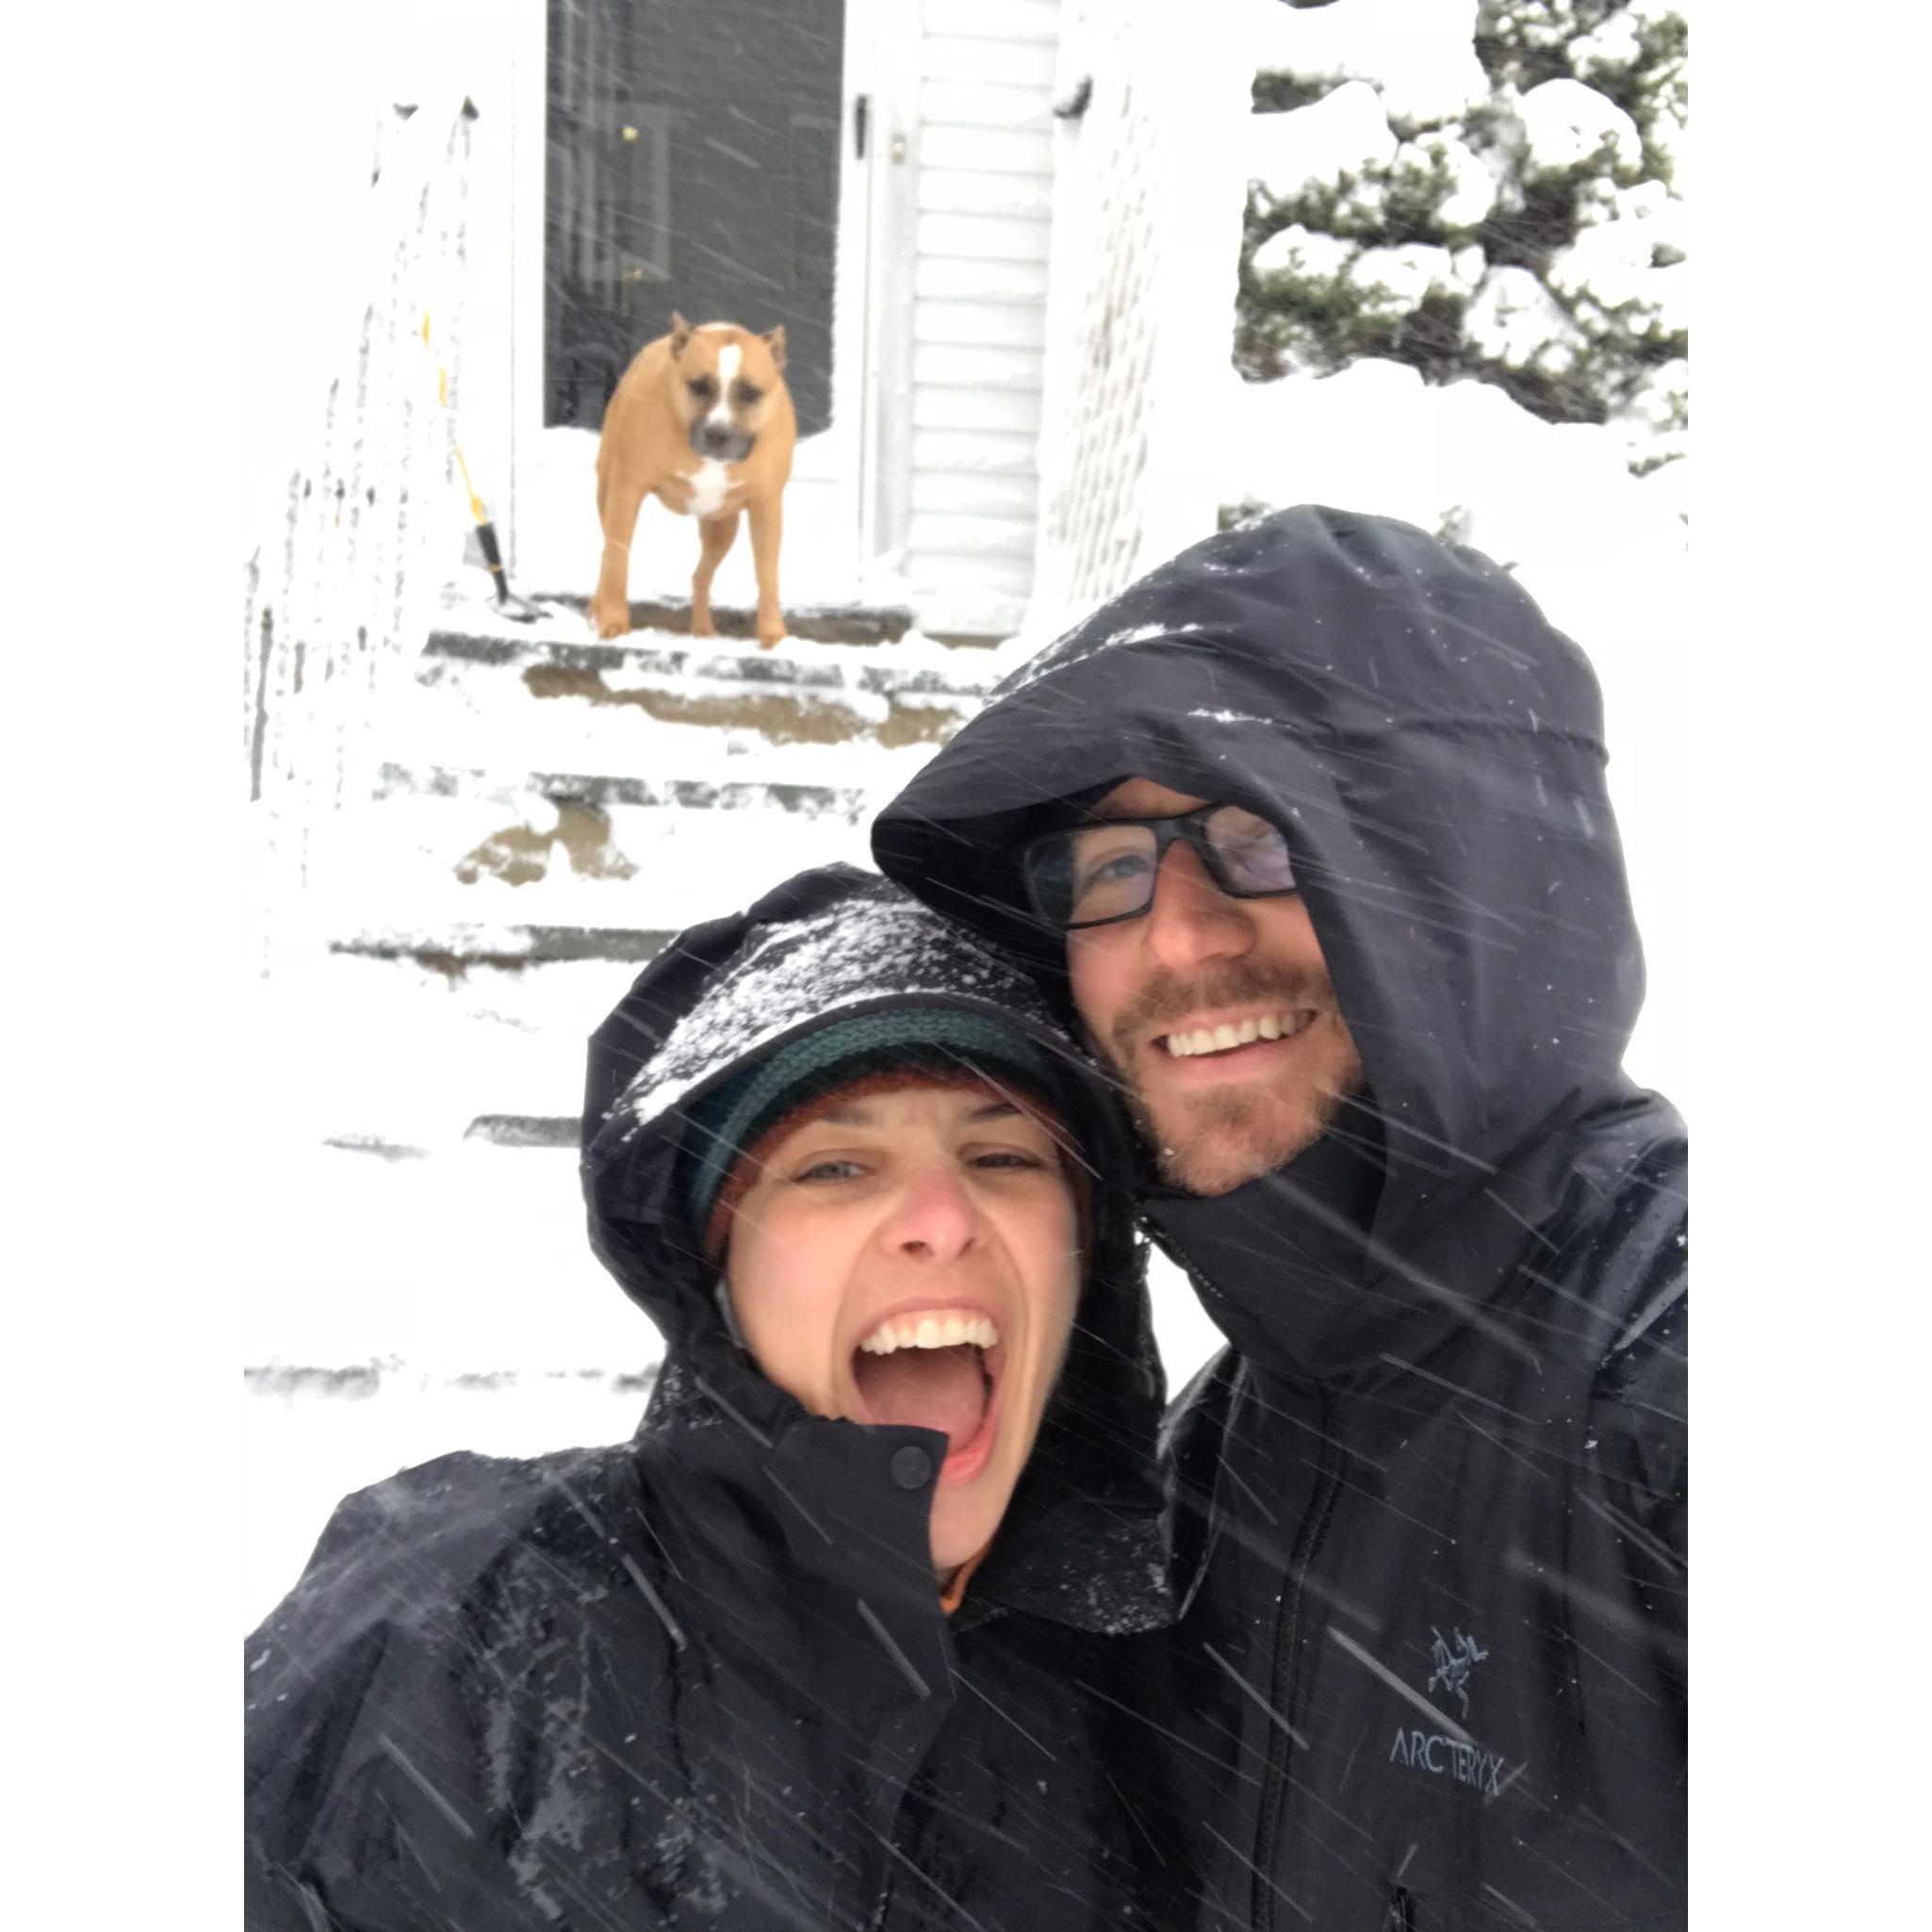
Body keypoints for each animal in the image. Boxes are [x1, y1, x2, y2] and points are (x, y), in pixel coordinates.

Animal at [591, 315, 795, 648]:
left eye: (750, 393)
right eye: (698, 386)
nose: (718, 434)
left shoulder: (766, 505)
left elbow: (767, 571)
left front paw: (773, 635)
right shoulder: (627, 489)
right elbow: (617, 557)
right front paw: (612, 621)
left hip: (722, 526)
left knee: (701, 575)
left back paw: (703, 631)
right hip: (606, 491)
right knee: (607, 551)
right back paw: (596, 608)